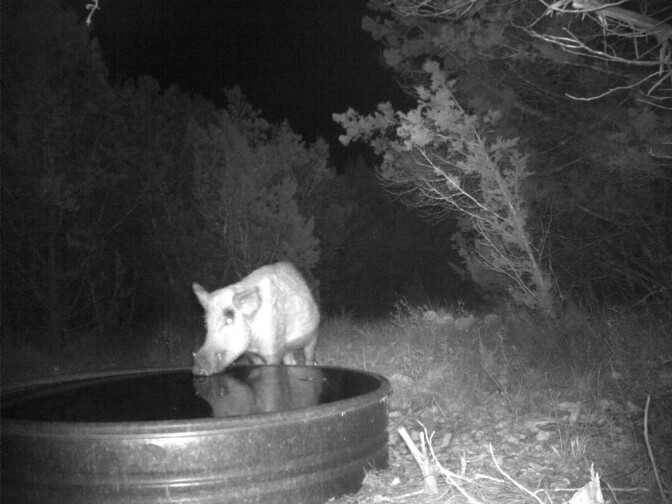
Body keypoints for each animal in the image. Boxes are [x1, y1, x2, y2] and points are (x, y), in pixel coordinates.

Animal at [191, 262, 320, 376]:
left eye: (229, 320)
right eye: (206, 323)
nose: (197, 369)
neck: (253, 342)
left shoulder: (273, 347)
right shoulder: (251, 354)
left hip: (313, 334)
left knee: (309, 356)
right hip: (288, 349)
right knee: (292, 361)